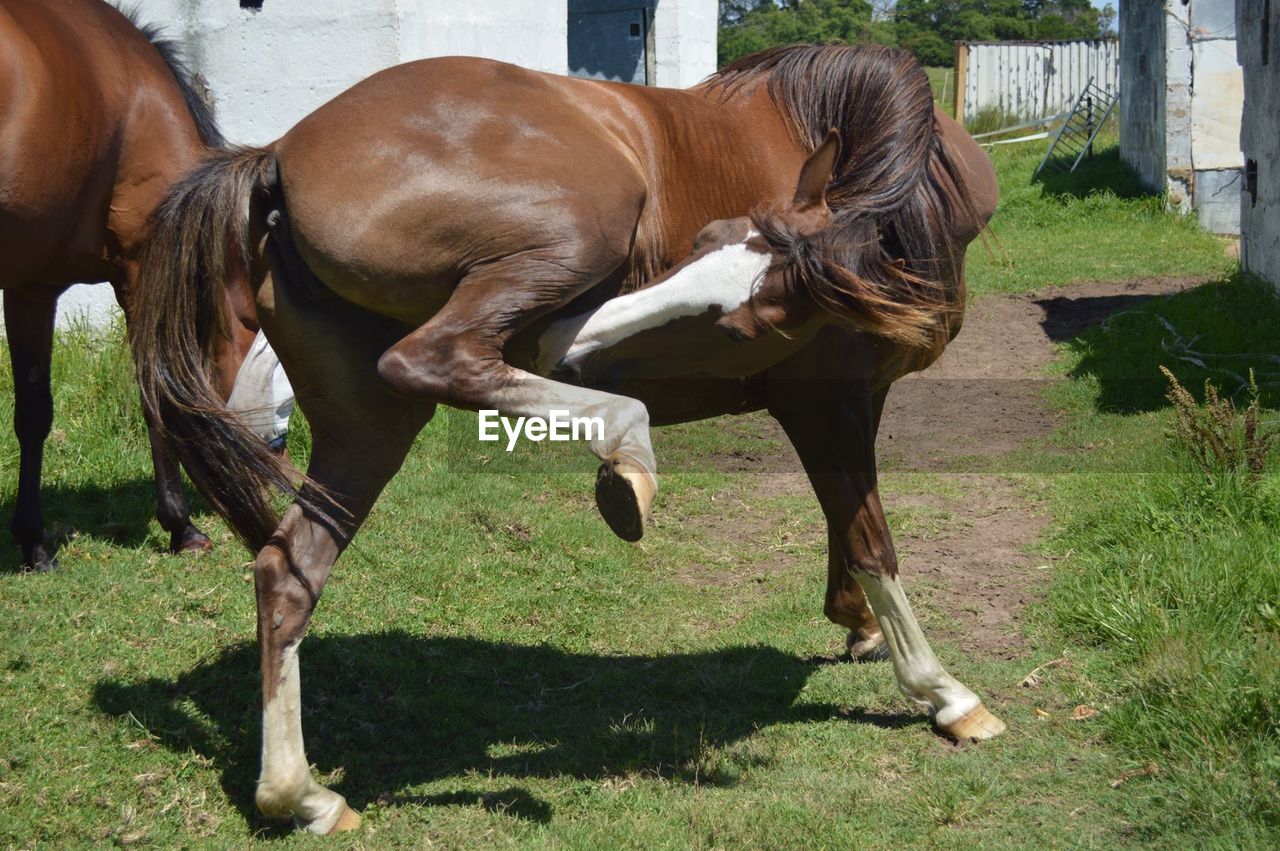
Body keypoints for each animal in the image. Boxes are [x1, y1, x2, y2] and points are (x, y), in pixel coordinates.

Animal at [0, 0, 259, 570]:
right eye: (254, 333)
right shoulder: (140, 272)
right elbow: (156, 392)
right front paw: (180, 526)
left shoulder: (30, 286)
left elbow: (32, 414)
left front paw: (32, 540)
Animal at [132, 44, 998, 829]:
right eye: (701, 244)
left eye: (744, 322)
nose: (566, 342)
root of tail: (277, 155)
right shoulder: (826, 403)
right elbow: (871, 539)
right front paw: (943, 691)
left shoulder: (860, 399)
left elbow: (845, 528)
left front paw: (858, 624)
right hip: (583, 227)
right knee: (434, 358)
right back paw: (623, 452)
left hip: (365, 426)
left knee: (288, 570)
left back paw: (301, 796)